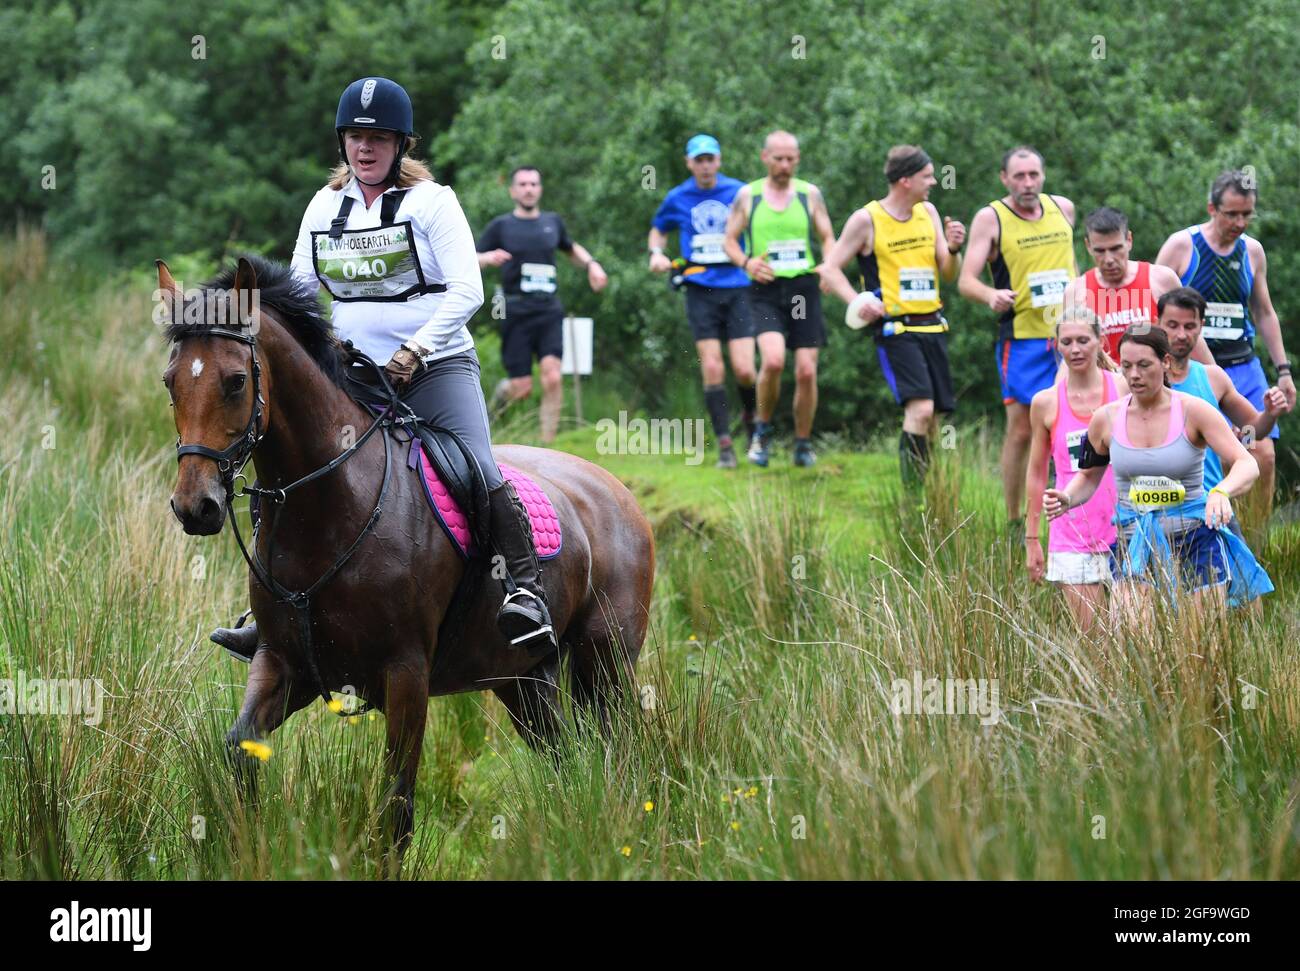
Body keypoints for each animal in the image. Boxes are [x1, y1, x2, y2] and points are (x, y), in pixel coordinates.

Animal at [158, 258, 655, 857]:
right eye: (170, 382)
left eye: (235, 381)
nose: (196, 506)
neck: (331, 504)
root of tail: (618, 491)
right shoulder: (283, 662)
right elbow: (240, 752)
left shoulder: (406, 675)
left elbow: (396, 809)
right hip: (524, 681)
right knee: (569, 761)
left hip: (607, 666)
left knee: (620, 756)